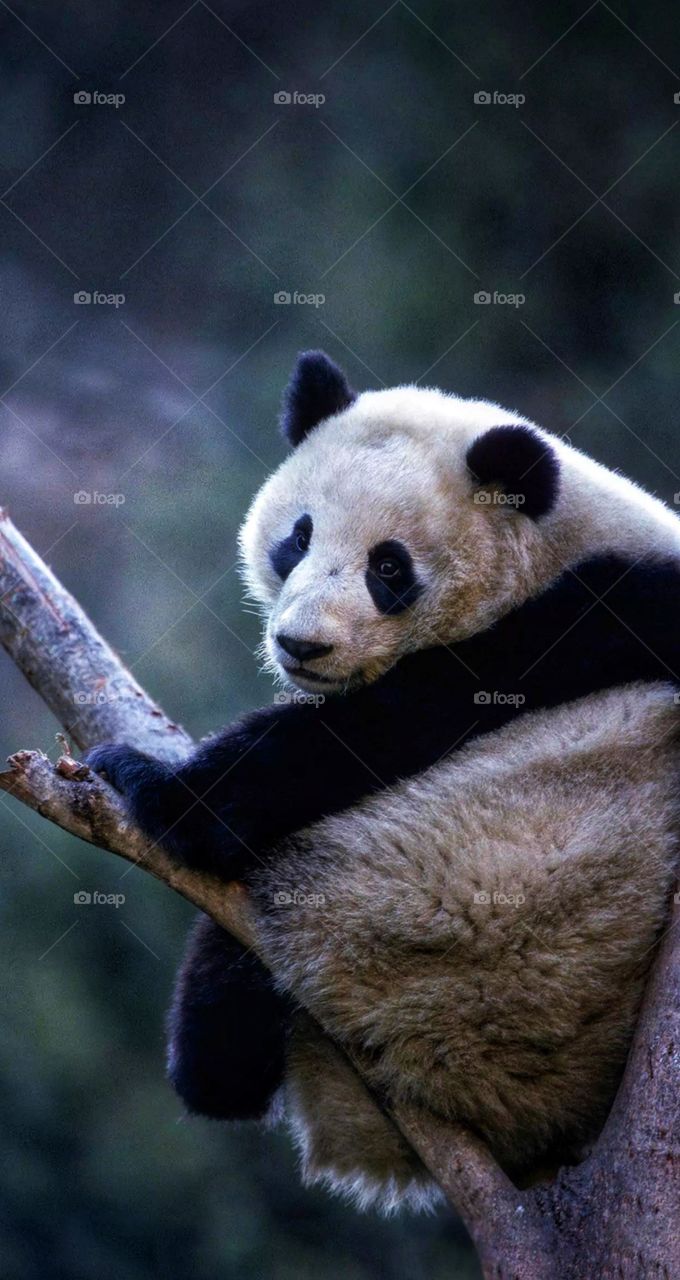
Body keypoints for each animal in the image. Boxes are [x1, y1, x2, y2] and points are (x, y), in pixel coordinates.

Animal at [87, 351, 680, 1213]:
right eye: (297, 537)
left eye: (389, 566)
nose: (302, 645)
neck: (552, 543)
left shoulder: (592, 614)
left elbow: (363, 732)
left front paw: (149, 780)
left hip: (403, 924)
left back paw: (206, 1059)